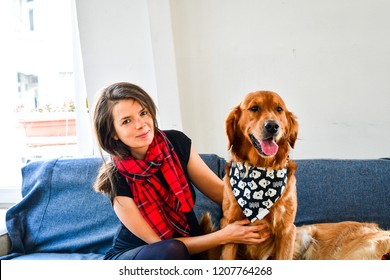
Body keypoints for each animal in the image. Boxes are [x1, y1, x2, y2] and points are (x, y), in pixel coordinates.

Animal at [218, 91, 298, 260]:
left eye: (279, 109)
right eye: (254, 108)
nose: (272, 126)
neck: (262, 167)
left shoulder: (287, 230)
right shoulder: (230, 227)